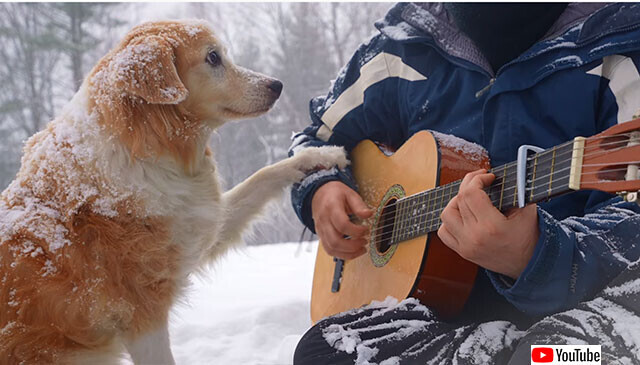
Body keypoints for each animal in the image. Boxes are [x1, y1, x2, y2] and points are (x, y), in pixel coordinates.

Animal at [0, 20, 344, 364]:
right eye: (213, 57)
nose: (277, 85)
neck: (147, 152)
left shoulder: (199, 225)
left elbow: (263, 175)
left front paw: (319, 156)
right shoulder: (144, 317)